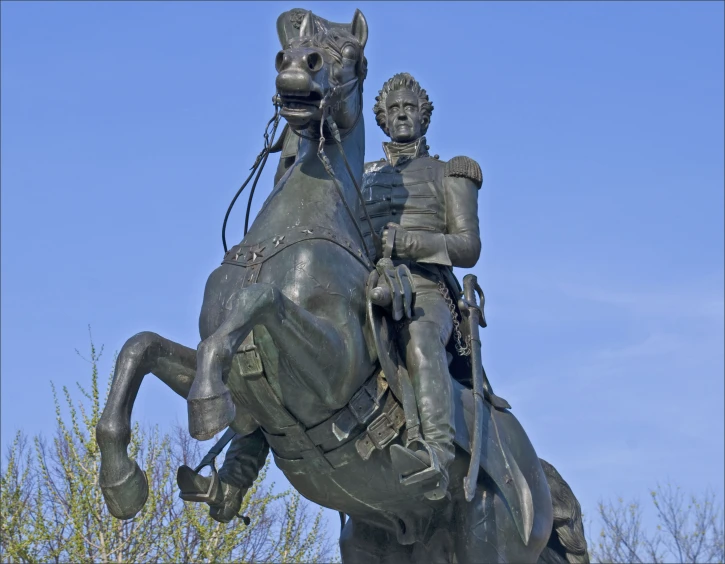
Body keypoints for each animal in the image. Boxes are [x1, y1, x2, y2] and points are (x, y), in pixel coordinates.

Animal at [94, 8, 588, 564]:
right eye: (289, 47)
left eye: (351, 54)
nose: (295, 66)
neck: (282, 238)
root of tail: (540, 481)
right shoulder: (234, 373)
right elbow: (141, 347)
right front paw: (122, 483)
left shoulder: (332, 372)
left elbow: (256, 299)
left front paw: (205, 403)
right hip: (372, 543)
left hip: (488, 537)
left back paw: (430, 458)